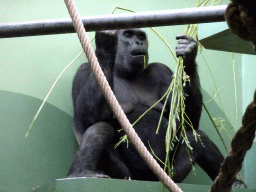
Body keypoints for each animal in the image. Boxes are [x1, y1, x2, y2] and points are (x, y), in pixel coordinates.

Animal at [68, 28, 246, 186]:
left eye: (141, 36)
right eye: (128, 35)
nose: (139, 42)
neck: (122, 70)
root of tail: (149, 181)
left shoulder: (161, 71)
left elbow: (186, 122)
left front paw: (188, 55)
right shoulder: (84, 71)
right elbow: (86, 120)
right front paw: (105, 44)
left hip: (170, 175)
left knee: (196, 137)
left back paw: (233, 182)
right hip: (127, 177)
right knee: (100, 128)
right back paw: (81, 172)